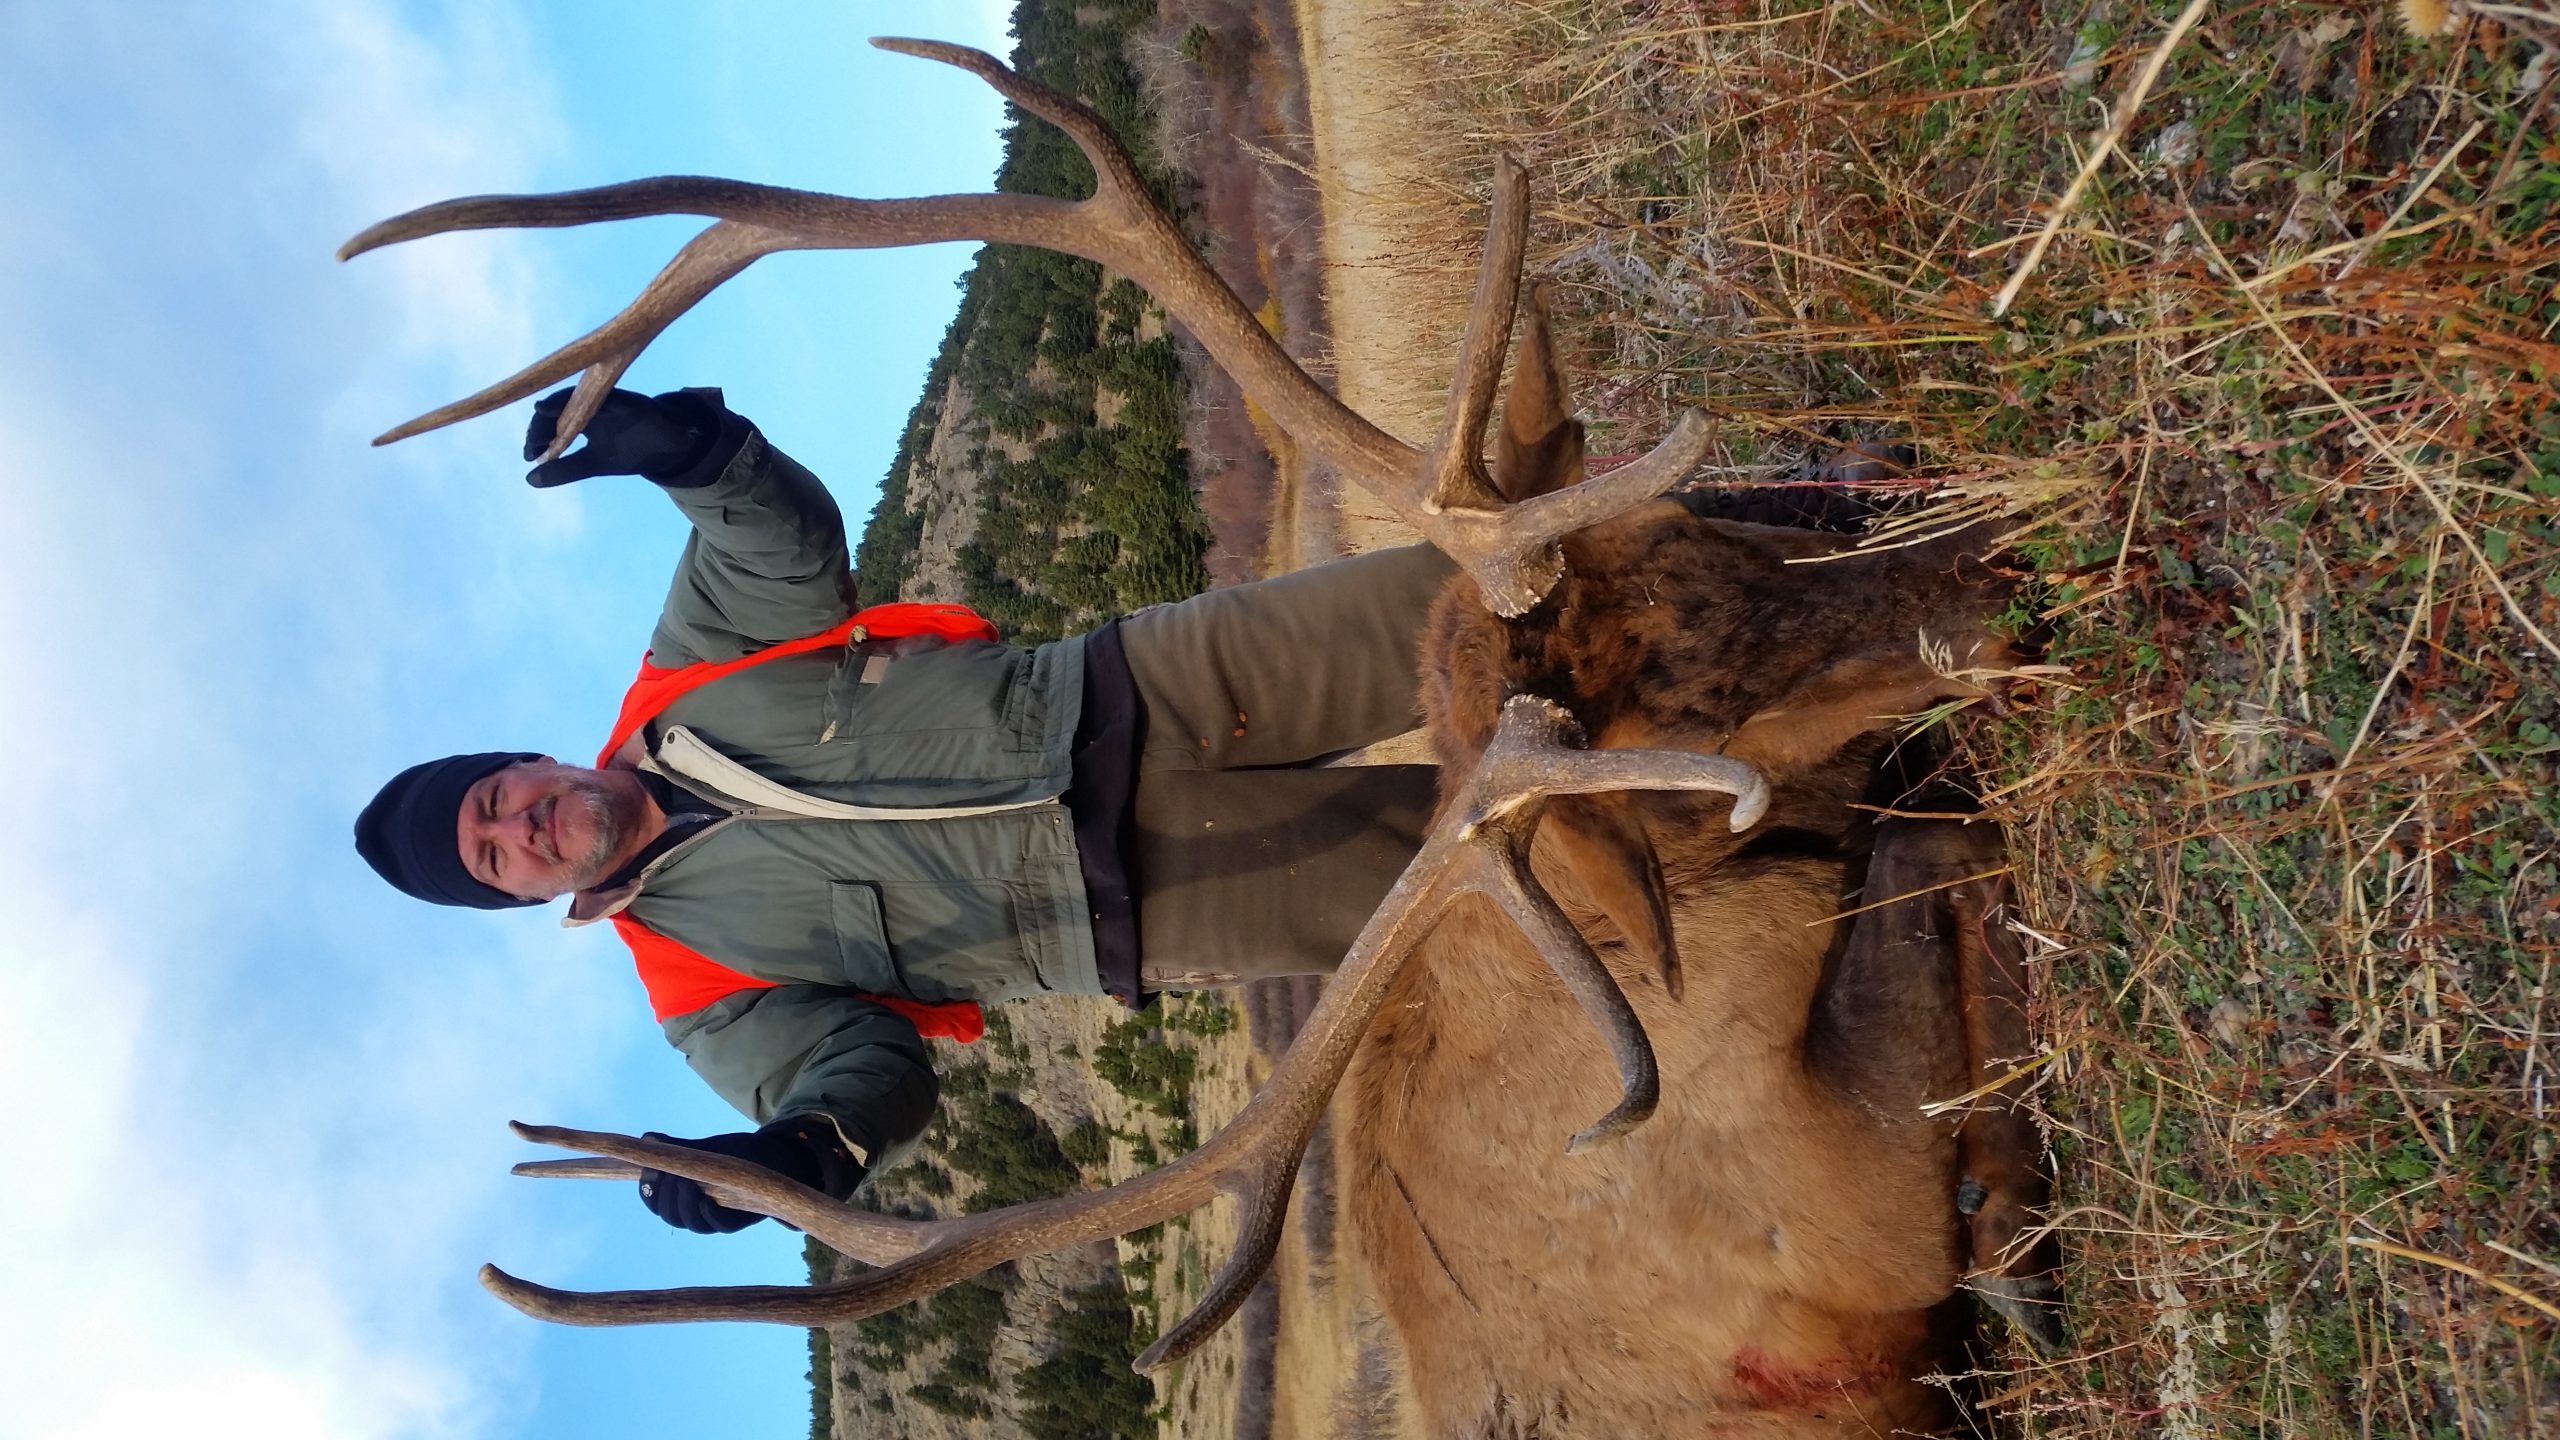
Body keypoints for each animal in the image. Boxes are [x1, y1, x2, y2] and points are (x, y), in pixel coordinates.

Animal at [342, 37, 2062, 1436]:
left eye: (1710, 529)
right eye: (1692, 716)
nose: (2008, 571)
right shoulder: (1848, 1210)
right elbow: (1942, 866)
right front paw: (2019, 1210)